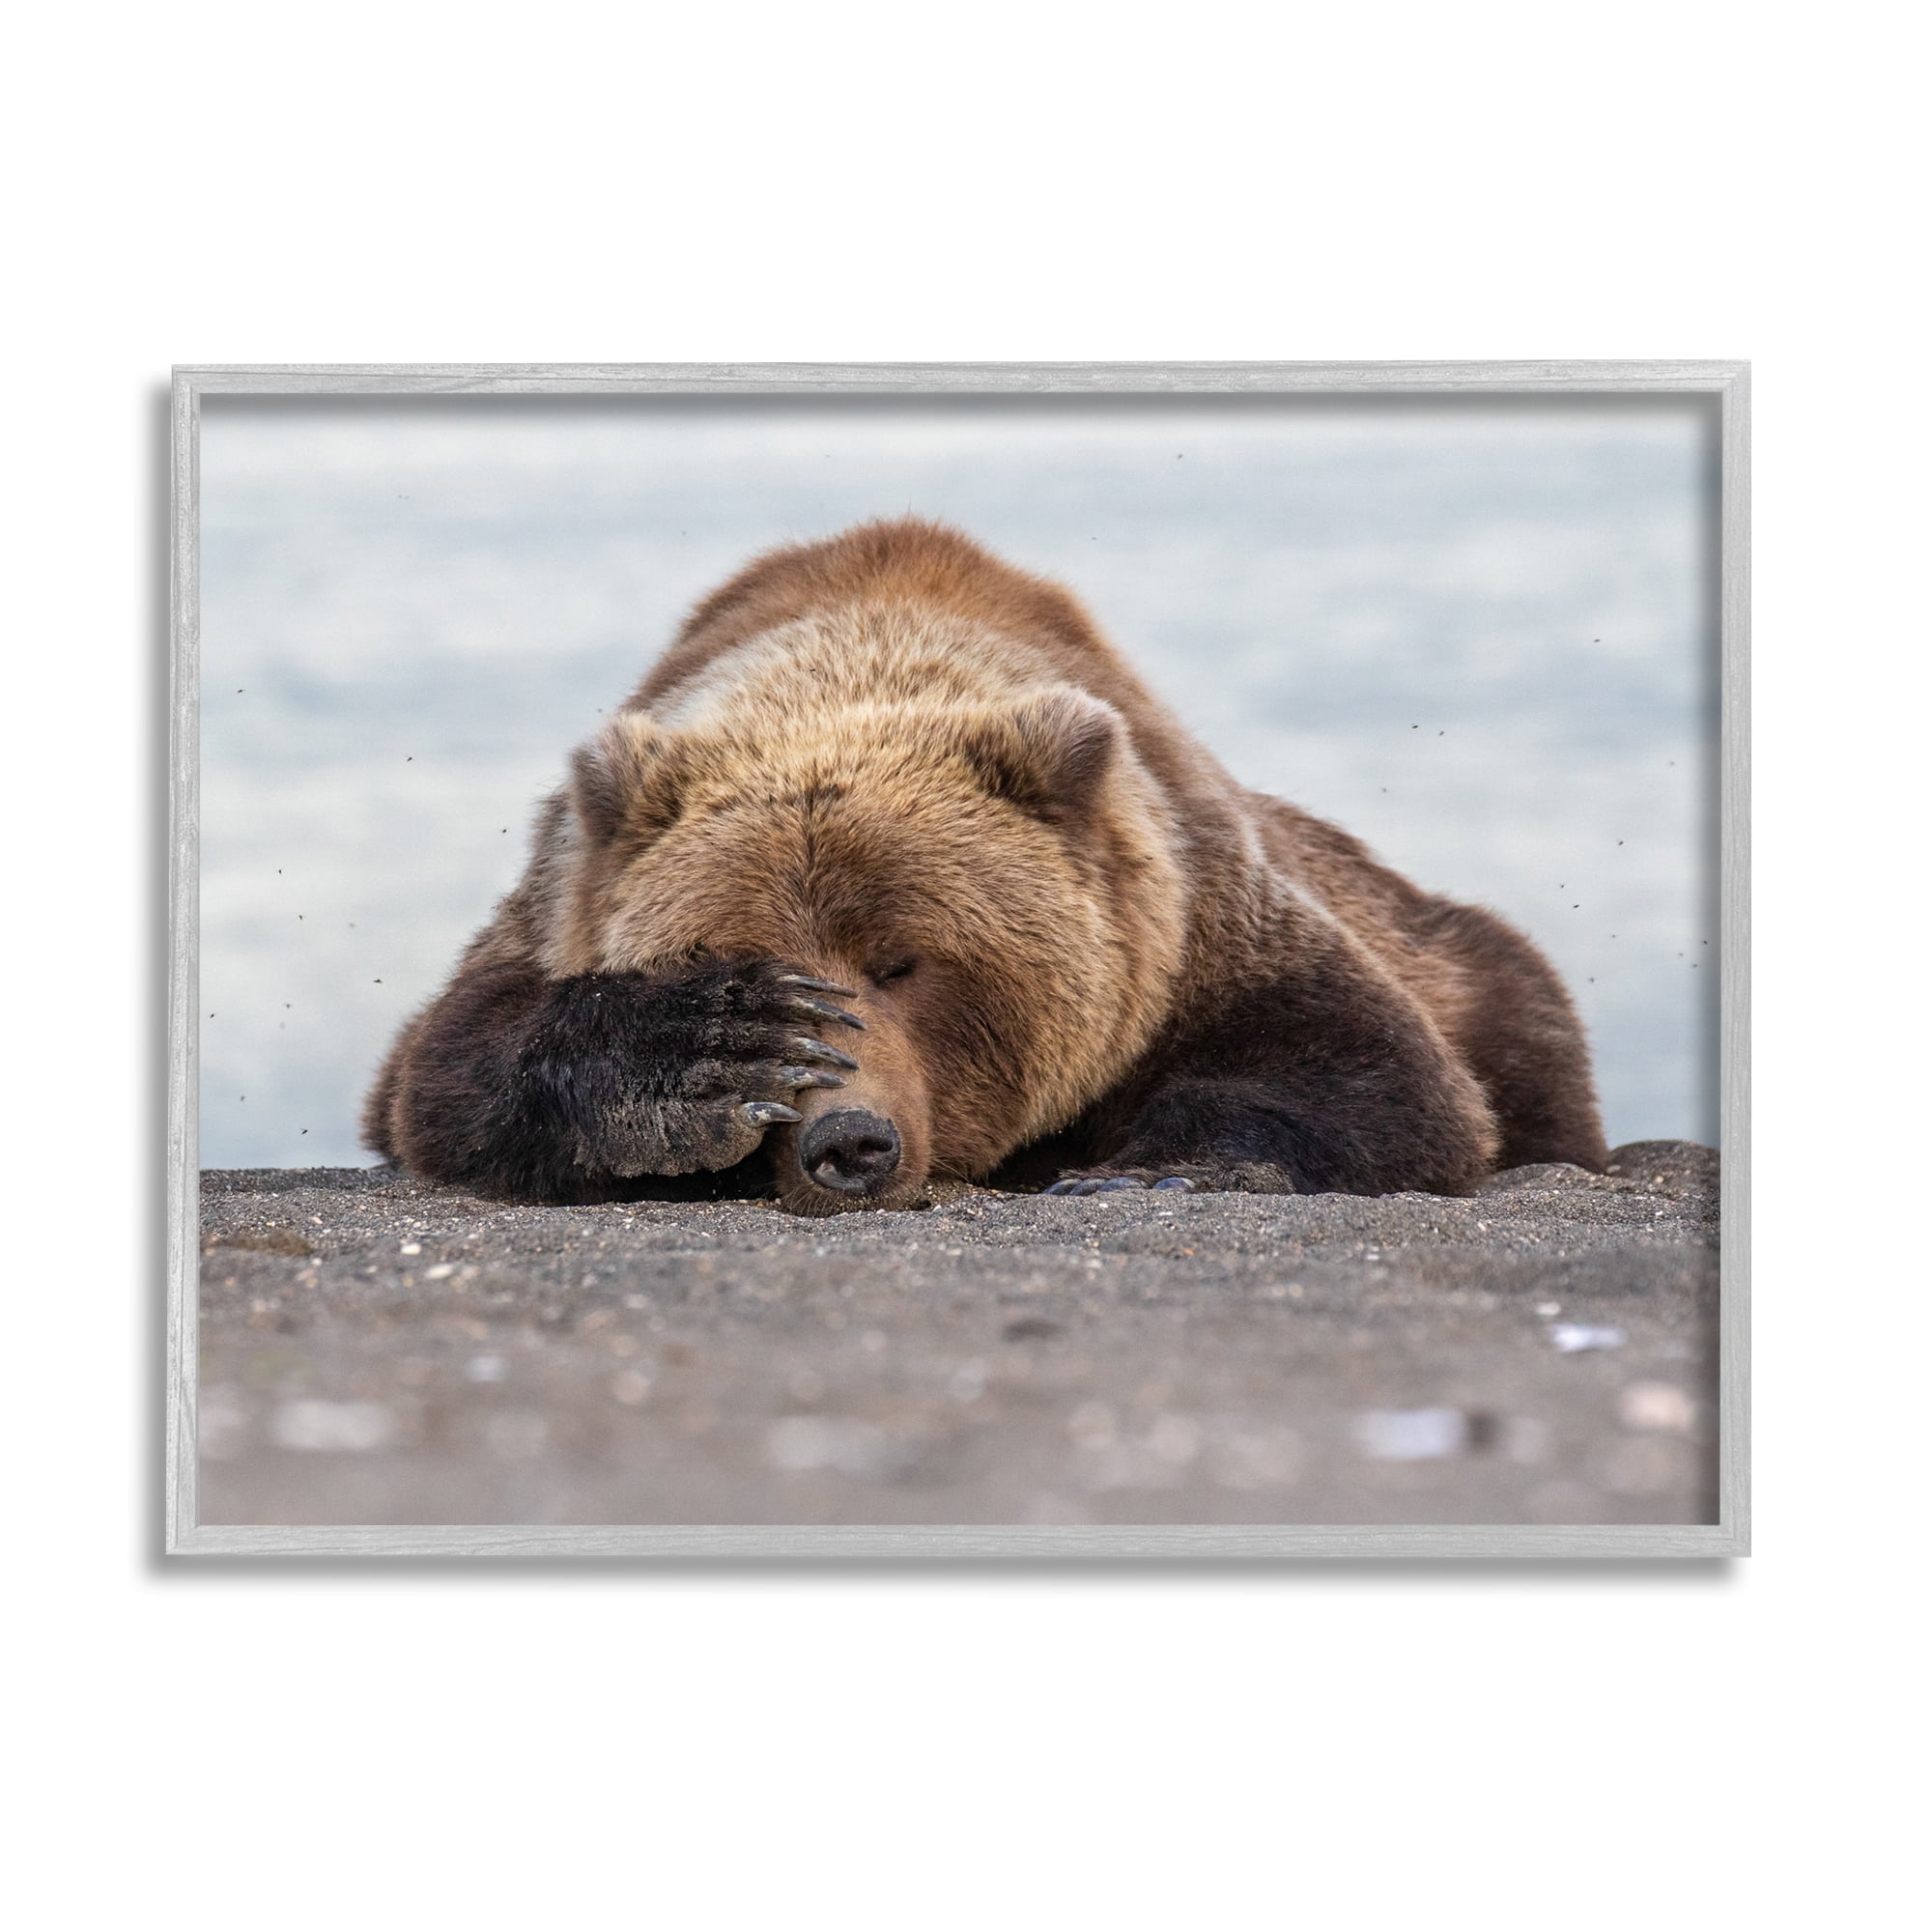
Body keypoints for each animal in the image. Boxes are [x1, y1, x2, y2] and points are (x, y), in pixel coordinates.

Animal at [363, 517, 1608, 1214]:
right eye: (746, 955)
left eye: (904, 961)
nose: (846, 1140)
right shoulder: (557, 898)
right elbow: (446, 1068)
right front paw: (698, 1058)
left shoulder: (1189, 917)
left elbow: (1367, 1070)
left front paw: (1153, 1166)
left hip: (1462, 956)